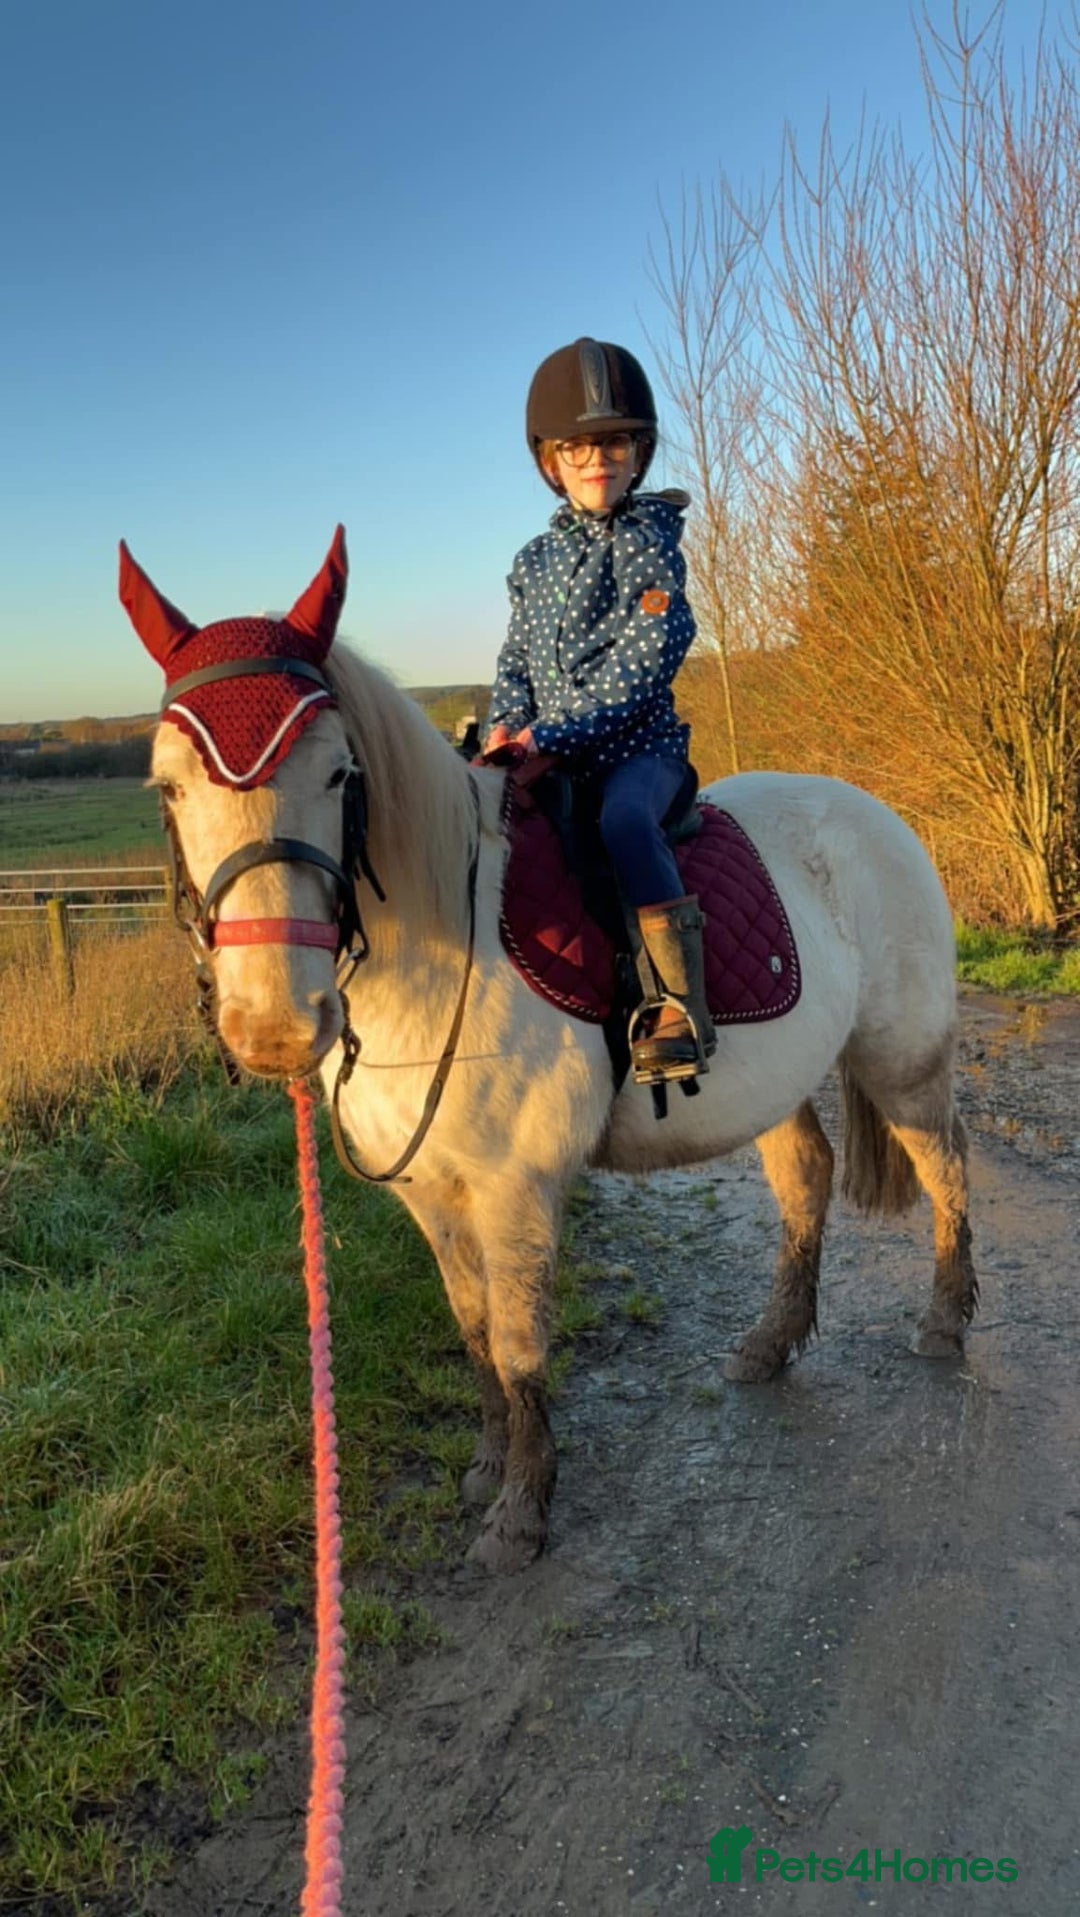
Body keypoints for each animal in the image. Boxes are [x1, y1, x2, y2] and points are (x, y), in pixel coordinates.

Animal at [120, 528, 977, 1574]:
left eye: (337, 775)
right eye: (169, 784)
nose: (275, 1022)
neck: (445, 940)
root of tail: (873, 811)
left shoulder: (514, 1186)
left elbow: (522, 1342)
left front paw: (520, 1513)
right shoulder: (432, 1192)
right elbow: (475, 1329)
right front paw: (488, 1466)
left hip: (903, 1059)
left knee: (945, 1166)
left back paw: (943, 1321)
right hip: (772, 1082)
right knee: (806, 1180)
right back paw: (769, 1345)